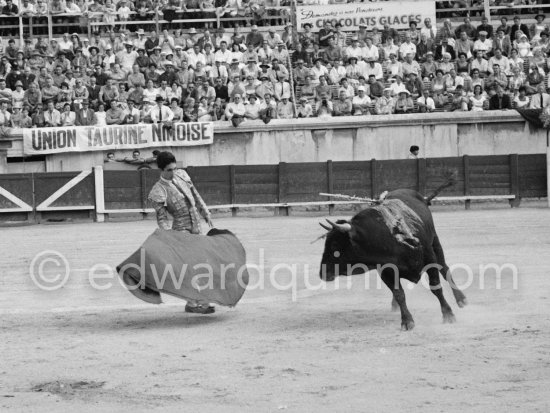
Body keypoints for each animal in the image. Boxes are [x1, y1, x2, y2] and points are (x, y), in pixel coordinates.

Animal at [322, 188, 468, 330]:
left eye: (334, 244)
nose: (322, 273)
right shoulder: (385, 270)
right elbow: (399, 294)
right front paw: (407, 321)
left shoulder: (429, 258)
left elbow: (436, 287)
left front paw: (448, 314)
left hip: (435, 243)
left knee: (444, 269)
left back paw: (461, 299)